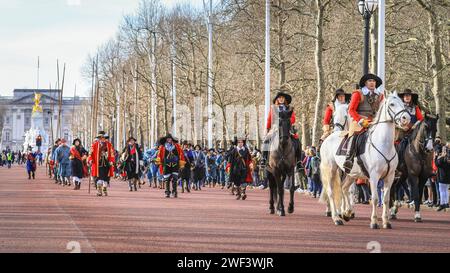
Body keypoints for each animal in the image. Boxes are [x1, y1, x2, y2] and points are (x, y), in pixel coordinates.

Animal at [320, 92, 412, 228]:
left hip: (350, 173)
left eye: (403, 103)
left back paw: (346, 213)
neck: (384, 144)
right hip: (331, 170)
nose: (406, 118)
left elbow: (385, 199)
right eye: (392, 104)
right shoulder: (374, 176)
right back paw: (336, 218)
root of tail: (329, 137)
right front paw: (374, 222)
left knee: (344, 188)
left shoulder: (389, 177)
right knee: (331, 192)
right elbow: (375, 198)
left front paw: (386, 221)